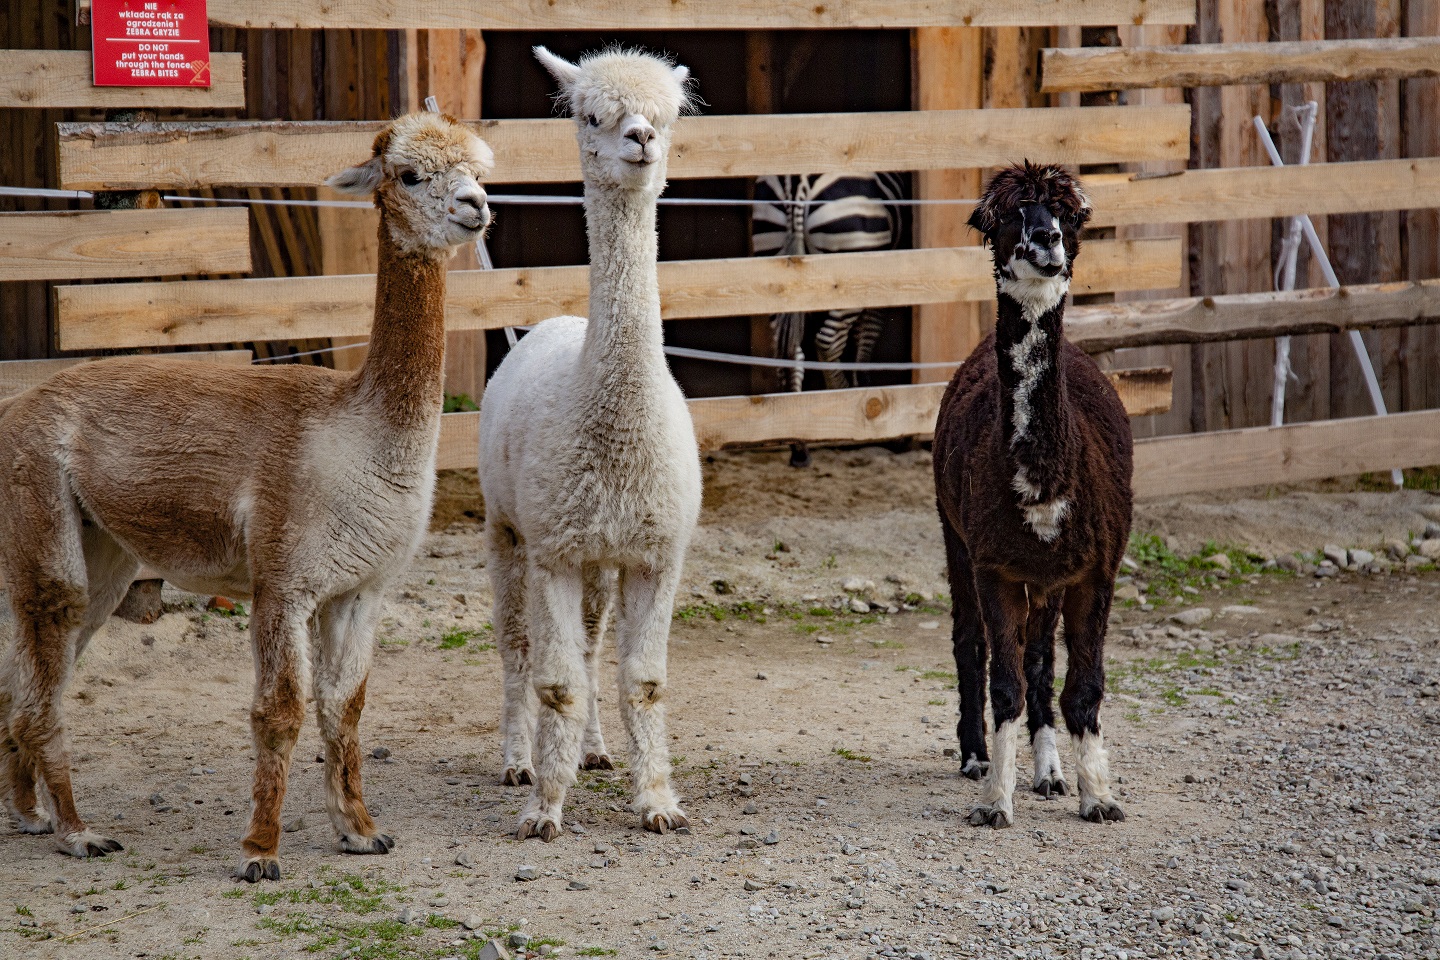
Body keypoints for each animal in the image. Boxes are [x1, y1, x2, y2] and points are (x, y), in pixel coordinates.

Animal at [754, 170, 910, 391]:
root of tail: (797, 180)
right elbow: (869, 331)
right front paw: (863, 384)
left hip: (772, 272)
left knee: (790, 349)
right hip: (850, 274)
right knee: (828, 344)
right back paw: (842, 392)